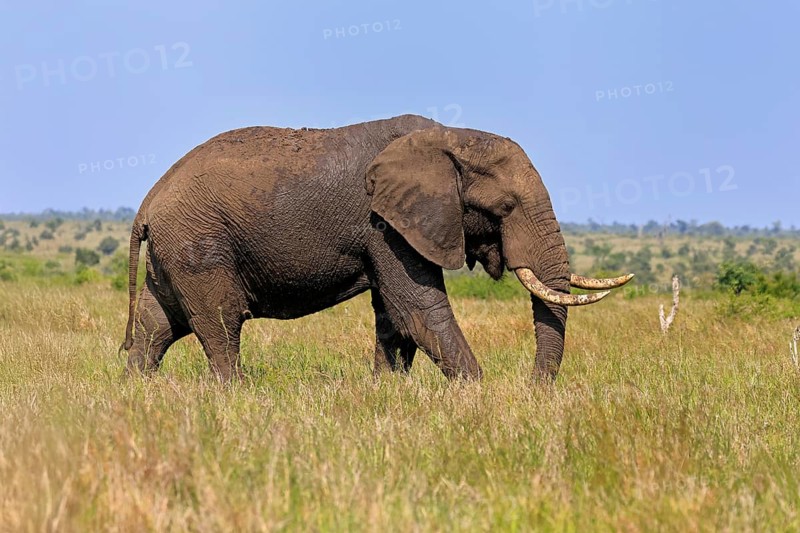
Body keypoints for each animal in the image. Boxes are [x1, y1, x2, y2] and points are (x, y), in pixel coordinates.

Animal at [122, 114, 633, 382]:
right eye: (505, 207)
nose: (533, 389)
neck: (450, 135)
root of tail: (148, 200)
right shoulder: (387, 224)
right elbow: (417, 308)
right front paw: (479, 393)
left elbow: (393, 315)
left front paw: (386, 391)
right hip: (199, 242)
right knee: (220, 322)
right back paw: (237, 395)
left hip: (176, 249)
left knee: (156, 324)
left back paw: (138, 392)